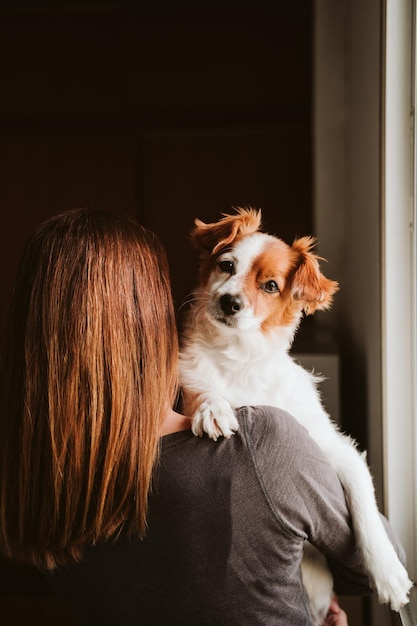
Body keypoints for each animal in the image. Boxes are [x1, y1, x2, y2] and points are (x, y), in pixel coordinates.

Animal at [180, 207, 412, 620]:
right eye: (226, 265)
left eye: (271, 286)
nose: (229, 302)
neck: (241, 359)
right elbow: (202, 392)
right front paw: (212, 407)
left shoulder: (338, 451)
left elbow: (365, 508)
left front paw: (387, 572)